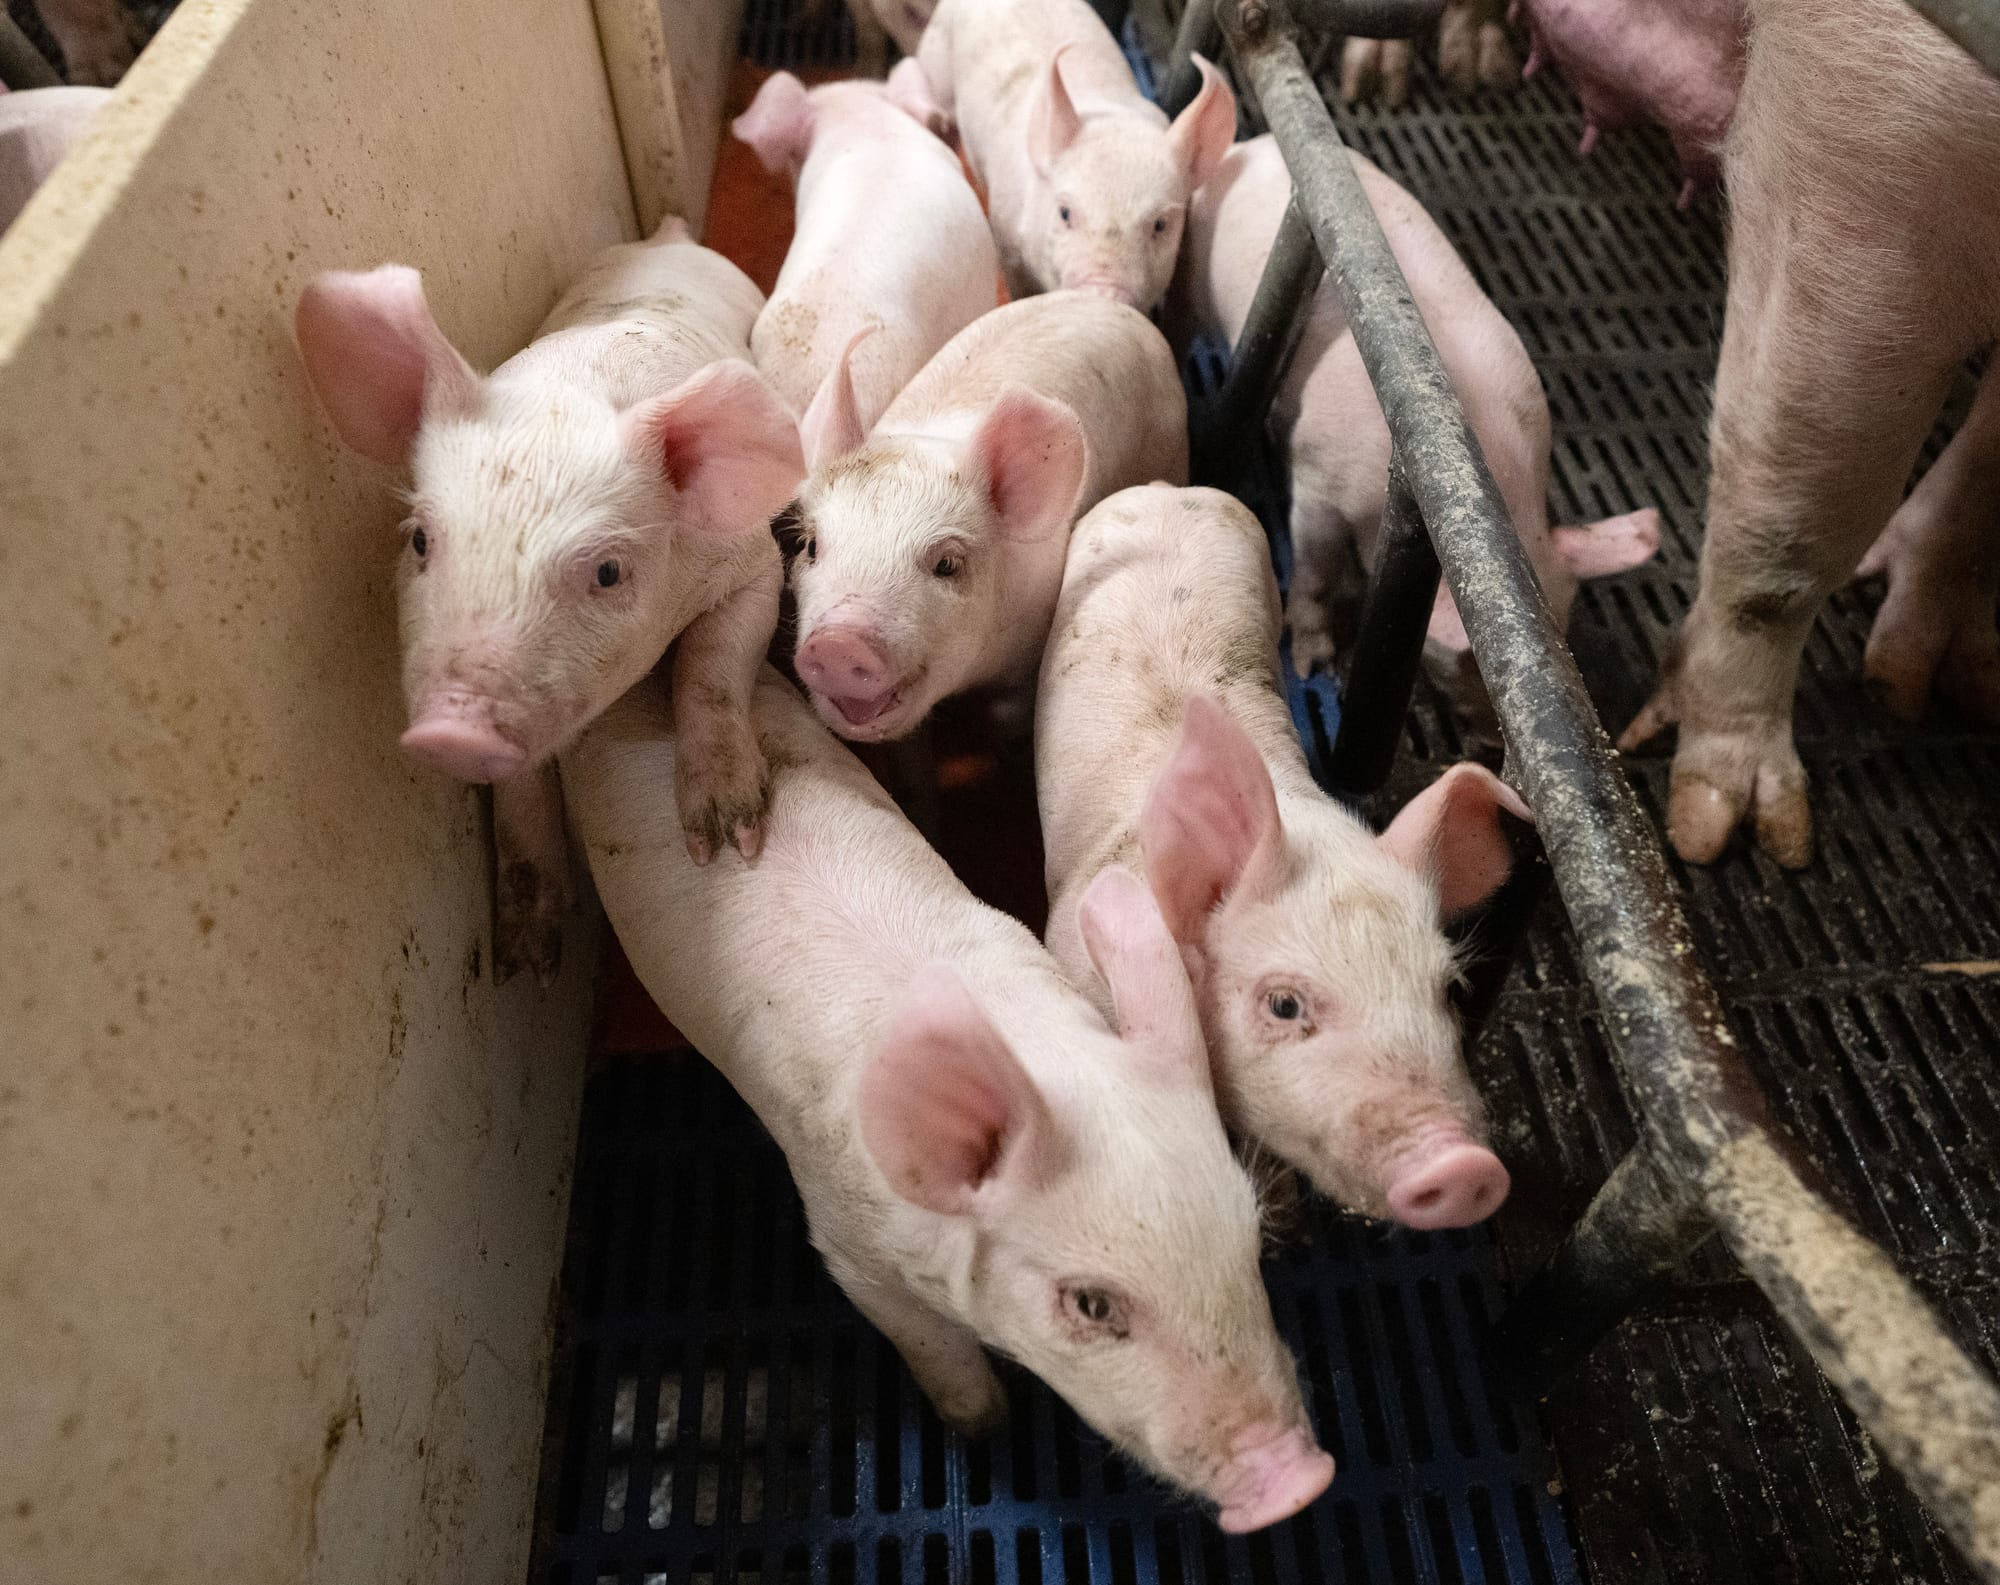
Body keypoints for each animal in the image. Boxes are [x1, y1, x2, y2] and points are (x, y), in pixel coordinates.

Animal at [295, 218, 805, 982]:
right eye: (420, 540)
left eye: (608, 572)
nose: (453, 727)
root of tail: (669, 234)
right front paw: (528, 965)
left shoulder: (754, 566)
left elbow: (712, 669)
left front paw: (725, 845)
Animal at [562, 665, 1336, 1532]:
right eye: (1092, 1304)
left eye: (1249, 1237)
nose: (1301, 1477)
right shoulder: (845, 1244)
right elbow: (938, 1351)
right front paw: (985, 1426)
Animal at [1169, 135, 1659, 743]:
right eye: (1460, 662)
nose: (1486, 737)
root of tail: (1251, 145)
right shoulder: (1318, 481)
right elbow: (1313, 572)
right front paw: (1312, 666)